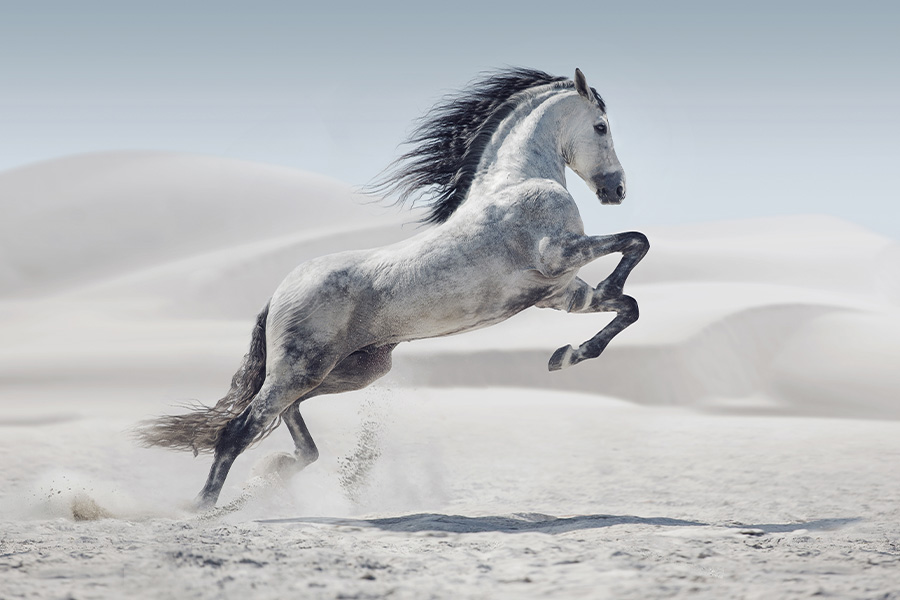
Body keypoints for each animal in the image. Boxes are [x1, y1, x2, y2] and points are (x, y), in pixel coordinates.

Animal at [137, 67, 649, 509]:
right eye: (601, 126)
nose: (617, 191)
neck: (518, 182)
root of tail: (279, 293)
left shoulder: (560, 294)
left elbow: (628, 305)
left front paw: (566, 355)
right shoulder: (557, 255)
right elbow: (636, 243)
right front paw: (583, 329)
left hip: (349, 371)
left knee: (285, 418)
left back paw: (277, 470)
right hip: (302, 369)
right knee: (240, 429)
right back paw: (202, 508)